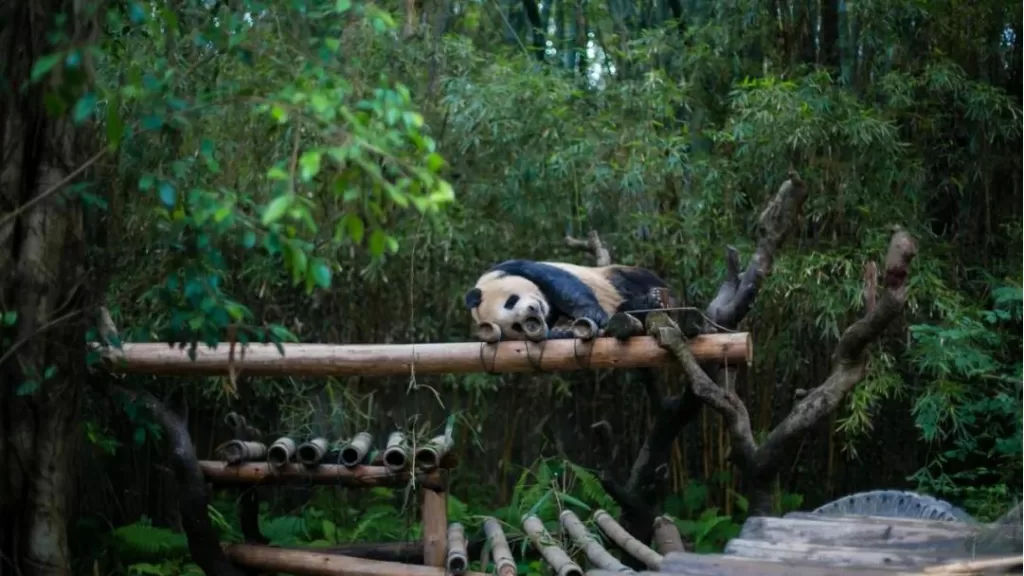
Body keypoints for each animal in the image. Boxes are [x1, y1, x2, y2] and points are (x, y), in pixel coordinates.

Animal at [463, 259, 674, 341]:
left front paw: (593, 313)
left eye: (510, 301)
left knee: (632, 280)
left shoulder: (508, 267)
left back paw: (654, 299)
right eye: (517, 326)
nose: (534, 310)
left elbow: (561, 283)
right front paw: (562, 330)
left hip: (613, 276)